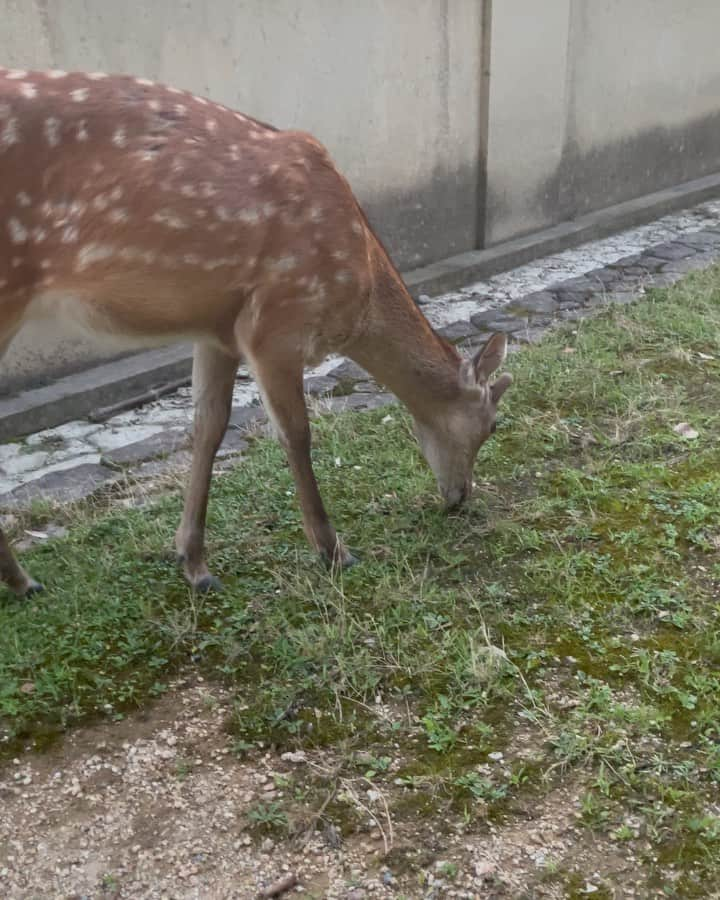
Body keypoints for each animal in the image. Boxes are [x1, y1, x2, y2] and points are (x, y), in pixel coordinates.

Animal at [0, 65, 512, 596]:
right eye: (493, 425)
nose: (460, 496)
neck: (360, 284)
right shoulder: (274, 325)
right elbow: (296, 433)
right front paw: (333, 550)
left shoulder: (217, 330)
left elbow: (208, 427)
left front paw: (193, 561)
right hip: (8, 282)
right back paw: (22, 581)